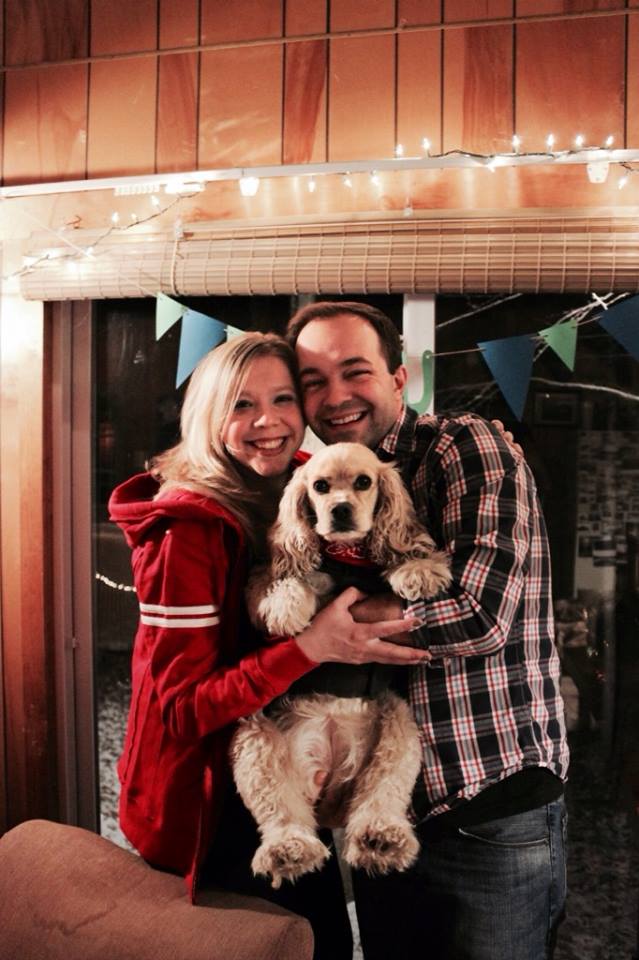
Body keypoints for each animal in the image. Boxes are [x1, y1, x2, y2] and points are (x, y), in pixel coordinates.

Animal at [231, 442, 451, 888]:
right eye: (320, 486)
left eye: (364, 482)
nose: (341, 510)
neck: (346, 556)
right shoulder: (264, 576)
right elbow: (284, 581)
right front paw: (287, 607)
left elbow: (403, 557)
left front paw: (418, 569)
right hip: (255, 735)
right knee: (281, 809)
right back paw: (289, 849)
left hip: (399, 727)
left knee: (380, 794)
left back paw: (381, 838)